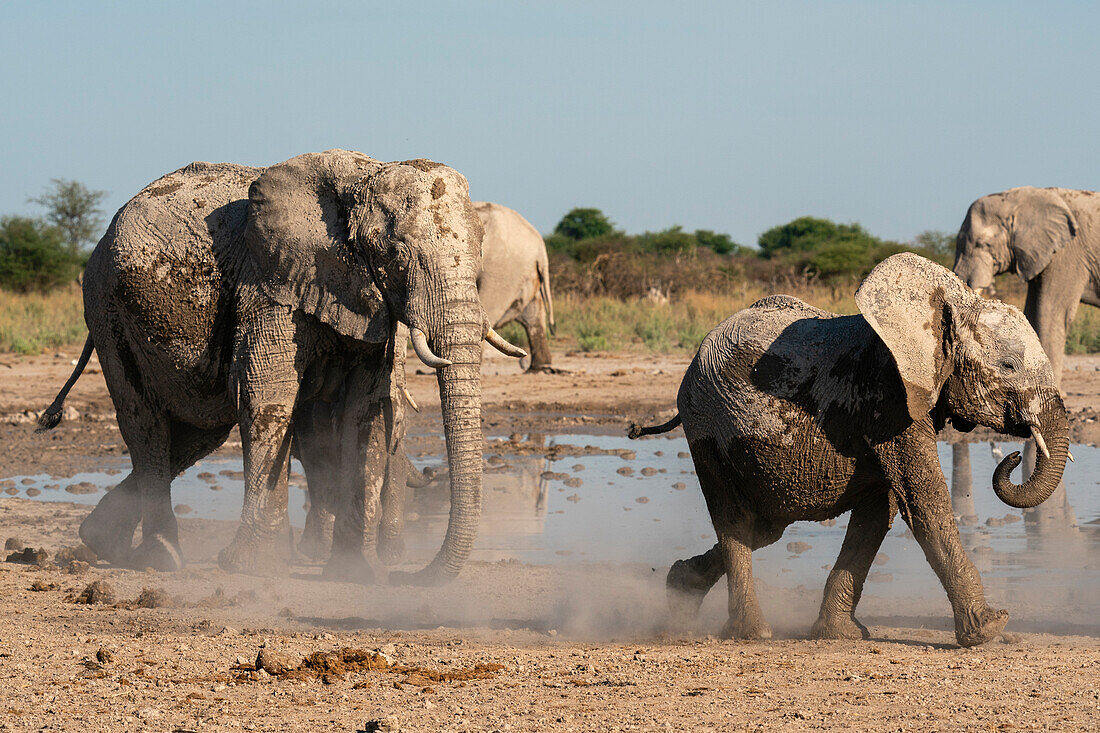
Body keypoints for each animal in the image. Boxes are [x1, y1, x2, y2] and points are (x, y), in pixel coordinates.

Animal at [36, 148, 525, 581]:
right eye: (397, 253)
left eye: (481, 249)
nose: (415, 577)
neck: (364, 176)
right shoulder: (269, 284)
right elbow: (267, 397)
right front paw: (252, 568)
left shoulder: (367, 304)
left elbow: (365, 410)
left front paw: (354, 574)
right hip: (106, 307)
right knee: (145, 420)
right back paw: (161, 559)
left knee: (200, 431)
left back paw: (101, 540)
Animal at [633, 250, 1069, 647]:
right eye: (1009, 366)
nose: (1013, 455)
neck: (946, 305)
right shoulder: (887, 398)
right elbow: (924, 502)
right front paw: (989, 629)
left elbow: (878, 513)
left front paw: (840, 634)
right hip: (707, 427)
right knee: (735, 522)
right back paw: (751, 633)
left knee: (765, 528)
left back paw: (679, 589)